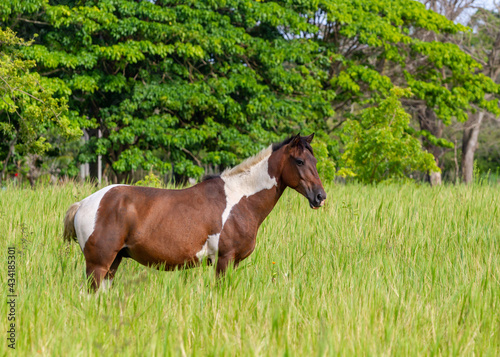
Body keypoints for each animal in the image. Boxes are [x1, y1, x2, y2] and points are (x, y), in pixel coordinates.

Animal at [63, 133, 328, 290]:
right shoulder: (224, 260)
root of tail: (84, 203)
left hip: (113, 263)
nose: (320, 197)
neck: (240, 199)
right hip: (97, 266)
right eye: (300, 161)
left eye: (315, 162)